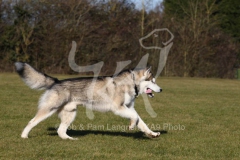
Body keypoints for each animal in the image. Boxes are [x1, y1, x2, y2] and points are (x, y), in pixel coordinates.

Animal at [14, 62, 161, 139]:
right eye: (153, 81)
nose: (161, 89)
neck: (131, 82)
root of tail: (56, 81)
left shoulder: (129, 107)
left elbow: (141, 121)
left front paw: (152, 133)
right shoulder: (118, 108)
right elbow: (135, 117)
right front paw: (131, 125)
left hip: (70, 113)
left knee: (60, 131)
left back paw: (70, 139)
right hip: (49, 109)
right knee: (32, 121)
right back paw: (24, 135)